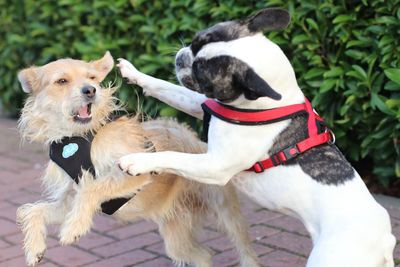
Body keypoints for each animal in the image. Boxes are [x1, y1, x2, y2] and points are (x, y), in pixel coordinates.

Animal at [14, 52, 260, 267]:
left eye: (91, 78)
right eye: (62, 81)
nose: (90, 90)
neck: (79, 136)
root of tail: (198, 143)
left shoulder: (132, 172)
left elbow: (93, 188)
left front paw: (72, 230)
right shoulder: (68, 199)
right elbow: (34, 212)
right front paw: (34, 248)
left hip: (225, 211)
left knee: (245, 249)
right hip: (175, 237)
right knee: (203, 255)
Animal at [117, 7, 396, 266]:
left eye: (203, 76)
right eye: (195, 42)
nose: (181, 57)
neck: (266, 106)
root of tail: (385, 241)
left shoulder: (214, 166)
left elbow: (174, 156)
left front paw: (138, 161)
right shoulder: (202, 105)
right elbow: (166, 88)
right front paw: (134, 72)